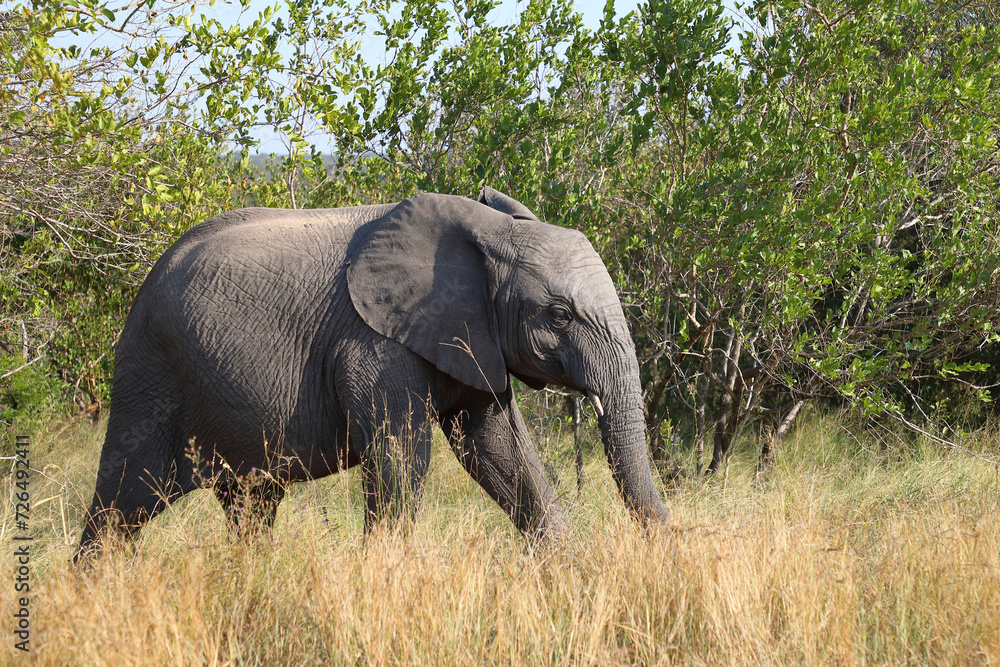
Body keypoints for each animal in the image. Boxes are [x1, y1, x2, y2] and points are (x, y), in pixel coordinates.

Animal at [76, 187, 669, 559]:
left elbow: (498, 448)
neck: (490, 230)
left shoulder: (471, 336)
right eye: (559, 314)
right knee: (122, 503)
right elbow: (403, 458)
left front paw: (566, 567)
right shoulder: (376, 344)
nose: (671, 546)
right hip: (151, 371)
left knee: (250, 504)